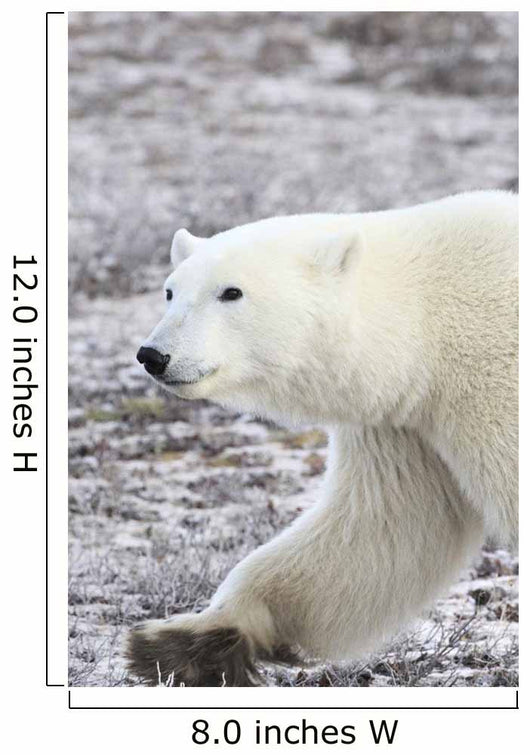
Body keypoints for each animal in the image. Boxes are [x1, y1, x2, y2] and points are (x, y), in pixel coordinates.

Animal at [128, 190, 518, 686]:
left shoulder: (492, 384)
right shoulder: (403, 423)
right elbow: (387, 527)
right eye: (170, 291)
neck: (428, 317)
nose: (153, 355)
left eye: (231, 291)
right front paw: (186, 640)